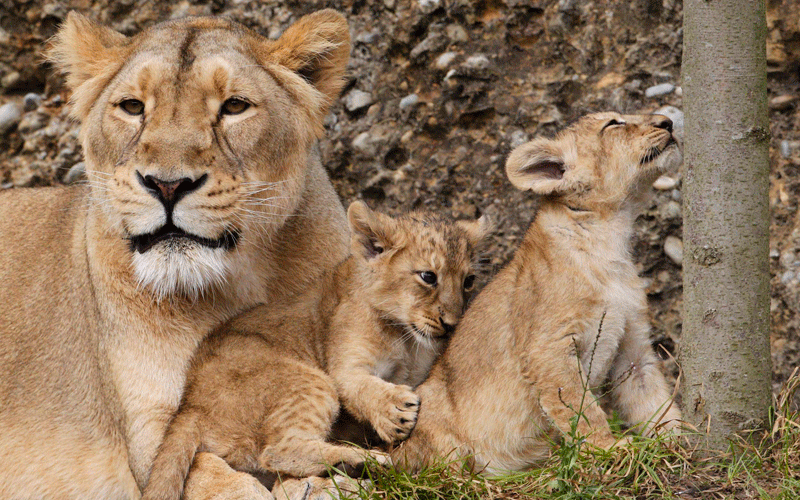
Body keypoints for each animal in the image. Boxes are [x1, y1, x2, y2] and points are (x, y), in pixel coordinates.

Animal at [0, 10, 352, 499]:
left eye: (234, 106)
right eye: (132, 107)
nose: (167, 185)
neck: (241, 281)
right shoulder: (148, 428)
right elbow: (220, 483)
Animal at [142, 201, 489, 500]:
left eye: (468, 281)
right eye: (428, 276)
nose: (452, 324)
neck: (406, 338)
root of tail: (188, 405)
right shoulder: (342, 364)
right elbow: (359, 386)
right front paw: (394, 411)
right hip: (308, 380)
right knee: (278, 451)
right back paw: (364, 459)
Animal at [390, 112, 683, 474]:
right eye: (613, 124)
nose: (668, 121)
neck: (610, 236)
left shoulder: (633, 349)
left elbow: (652, 398)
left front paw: (679, 443)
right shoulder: (548, 347)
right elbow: (579, 407)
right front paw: (610, 448)